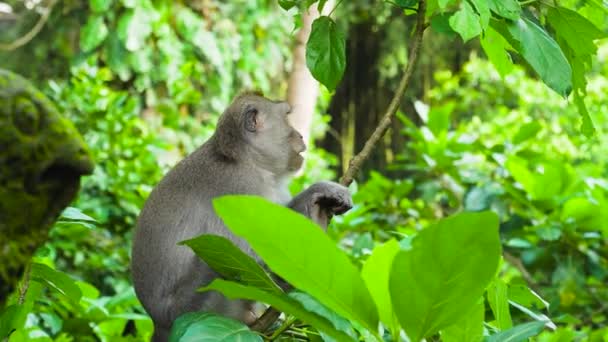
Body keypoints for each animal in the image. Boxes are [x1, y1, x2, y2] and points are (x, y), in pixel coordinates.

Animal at [131, 92, 354, 340]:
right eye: (286, 117)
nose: (300, 135)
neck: (248, 161)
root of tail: (158, 322)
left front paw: (318, 209)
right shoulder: (242, 187)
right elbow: (250, 252)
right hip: (195, 305)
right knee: (219, 254)